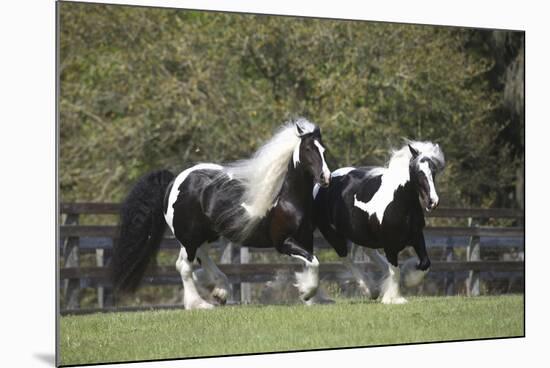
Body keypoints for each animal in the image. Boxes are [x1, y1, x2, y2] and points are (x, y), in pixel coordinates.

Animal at [110, 119, 330, 310]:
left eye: (324, 149)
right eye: (308, 149)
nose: (325, 177)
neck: (286, 199)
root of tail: (175, 180)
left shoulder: (306, 239)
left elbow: (311, 263)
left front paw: (312, 297)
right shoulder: (283, 242)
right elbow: (314, 262)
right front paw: (307, 293)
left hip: (204, 235)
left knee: (196, 259)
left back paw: (219, 289)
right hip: (189, 236)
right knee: (184, 266)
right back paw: (199, 304)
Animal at [312, 141, 446, 304]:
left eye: (433, 171)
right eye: (418, 172)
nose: (433, 202)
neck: (400, 201)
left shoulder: (417, 236)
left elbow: (425, 263)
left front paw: (407, 279)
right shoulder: (390, 245)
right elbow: (395, 270)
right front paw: (394, 298)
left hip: (363, 234)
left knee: (368, 252)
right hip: (332, 233)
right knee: (346, 259)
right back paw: (370, 290)